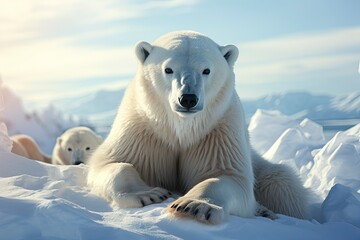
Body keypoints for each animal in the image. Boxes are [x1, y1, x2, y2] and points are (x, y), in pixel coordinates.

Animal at [88, 31, 310, 224]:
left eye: (206, 70)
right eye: (168, 69)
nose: (187, 98)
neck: (182, 127)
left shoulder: (218, 130)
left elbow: (229, 176)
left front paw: (193, 205)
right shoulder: (142, 128)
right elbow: (112, 162)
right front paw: (150, 193)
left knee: (284, 186)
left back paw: (267, 211)